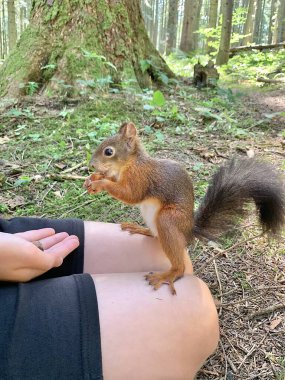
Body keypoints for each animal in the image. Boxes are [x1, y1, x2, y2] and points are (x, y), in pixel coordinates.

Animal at [83, 121, 282, 294]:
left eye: (109, 151)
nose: (91, 165)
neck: (130, 164)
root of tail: (188, 231)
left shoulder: (141, 178)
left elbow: (131, 195)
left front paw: (100, 183)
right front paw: (93, 178)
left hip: (169, 220)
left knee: (178, 263)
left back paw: (168, 275)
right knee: (154, 234)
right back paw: (140, 229)